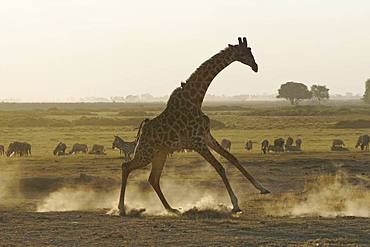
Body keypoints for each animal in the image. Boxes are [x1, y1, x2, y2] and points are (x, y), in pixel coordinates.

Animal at [120, 37, 270, 216]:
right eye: (245, 52)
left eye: (250, 50)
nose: (255, 67)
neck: (196, 99)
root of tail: (143, 127)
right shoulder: (197, 142)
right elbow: (220, 167)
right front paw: (235, 205)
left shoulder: (206, 136)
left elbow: (232, 158)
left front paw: (262, 188)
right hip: (146, 152)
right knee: (126, 167)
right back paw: (121, 208)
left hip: (159, 154)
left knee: (153, 179)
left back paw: (171, 209)